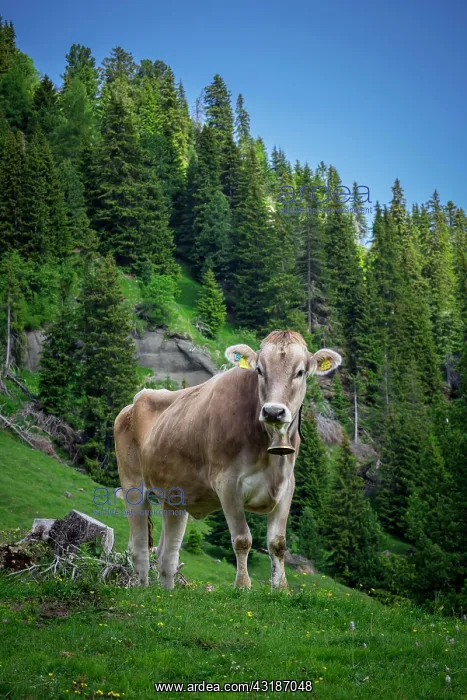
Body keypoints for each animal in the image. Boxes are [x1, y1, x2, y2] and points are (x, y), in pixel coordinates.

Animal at [114, 330, 341, 590]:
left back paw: (167, 594)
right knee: (140, 548)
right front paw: (242, 586)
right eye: (259, 370)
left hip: (175, 496)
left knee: (167, 554)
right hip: (133, 487)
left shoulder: (286, 488)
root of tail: (134, 402)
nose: (273, 411)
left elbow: (277, 543)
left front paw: (282, 589)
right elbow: (242, 539)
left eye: (300, 372)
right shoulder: (228, 484)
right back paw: (143, 590)